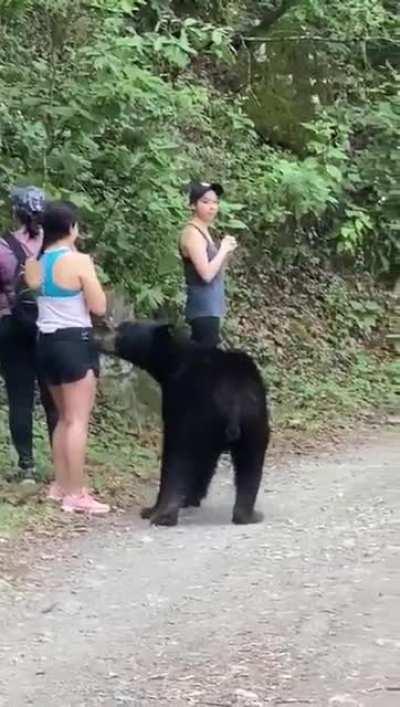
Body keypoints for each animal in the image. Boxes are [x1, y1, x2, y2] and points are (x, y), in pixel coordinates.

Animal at [98, 324, 270, 528]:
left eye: (121, 331)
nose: (97, 336)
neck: (172, 361)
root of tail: (233, 397)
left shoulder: (177, 400)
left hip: (202, 417)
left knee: (177, 459)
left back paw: (161, 514)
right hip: (253, 421)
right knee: (250, 463)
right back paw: (247, 515)